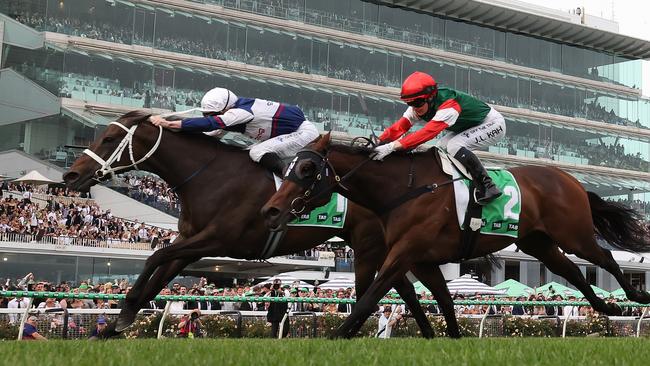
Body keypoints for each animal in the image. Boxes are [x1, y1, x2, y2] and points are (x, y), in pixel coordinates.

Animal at [262, 134, 648, 338]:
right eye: (288, 166)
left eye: (307, 168)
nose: (271, 210)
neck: (404, 190)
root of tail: (572, 181)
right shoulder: (421, 259)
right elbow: (443, 299)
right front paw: (453, 337)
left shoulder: (403, 252)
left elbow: (371, 294)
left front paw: (339, 334)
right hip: (537, 243)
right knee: (570, 272)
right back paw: (606, 306)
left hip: (573, 235)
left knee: (605, 258)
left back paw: (634, 296)